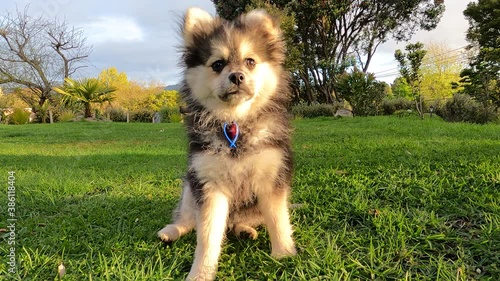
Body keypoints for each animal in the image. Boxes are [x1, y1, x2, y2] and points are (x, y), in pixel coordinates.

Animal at [158, 7, 294, 278]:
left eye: (250, 61)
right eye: (218, 64)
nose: (237, 76)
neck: (235, 123)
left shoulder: (271, 176)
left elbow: (277, 219)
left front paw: (284, 254)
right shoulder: (209, 183)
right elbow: (207, 234)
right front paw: (201, 273)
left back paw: (245, 230)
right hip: (190, 187)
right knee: (187, 220)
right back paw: (171, 231)